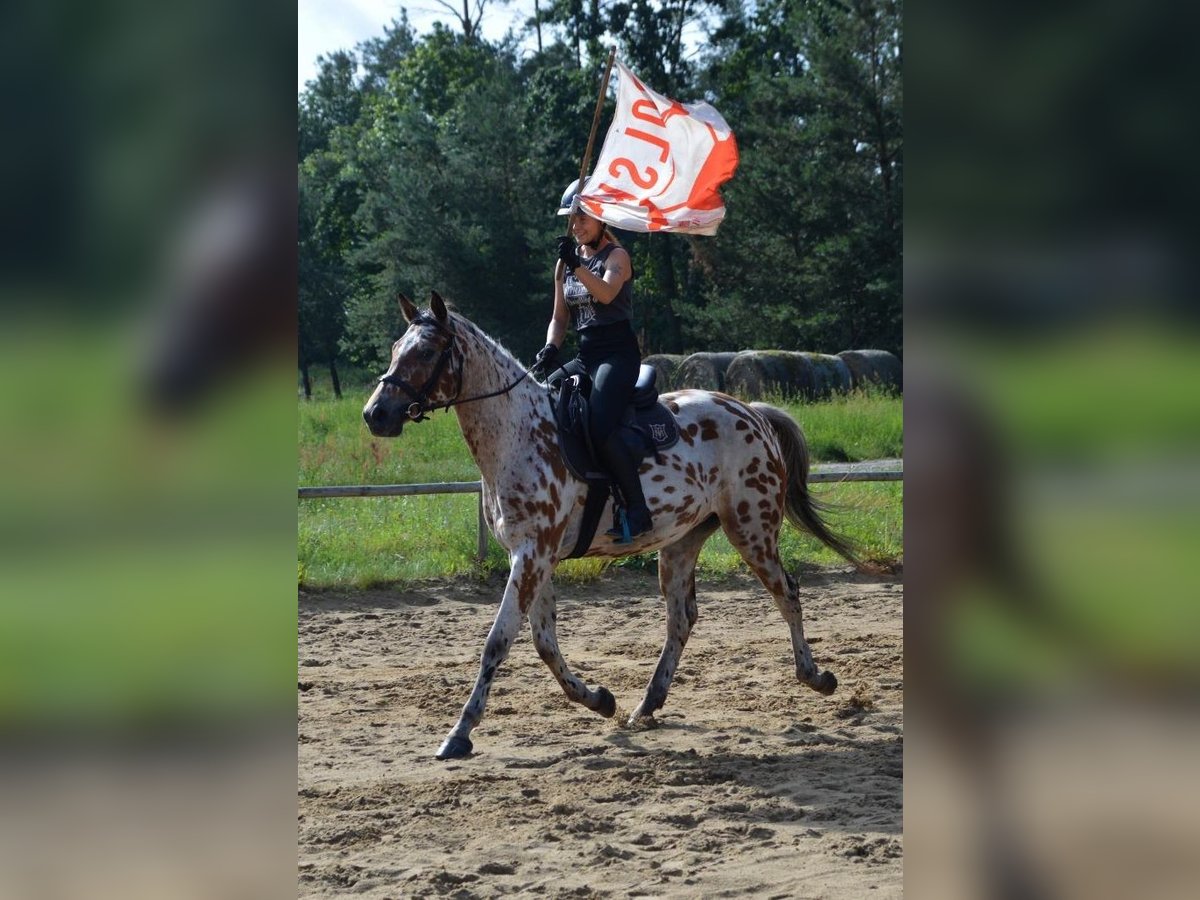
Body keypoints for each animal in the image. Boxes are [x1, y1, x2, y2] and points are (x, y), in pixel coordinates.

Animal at [362, 294, 864, 763]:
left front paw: (460, 732)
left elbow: (498, 641)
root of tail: (751, 411)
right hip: (680, 543)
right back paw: (646, 705)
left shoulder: (532, 555)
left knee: (787, 593)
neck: (518, 434)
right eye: (395, 349)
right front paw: (600, 699)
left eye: (427, 351)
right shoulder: (532, 556)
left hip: (751, 529)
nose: (375, 414)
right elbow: (544, 642)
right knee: (682, 617)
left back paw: (816, 677)